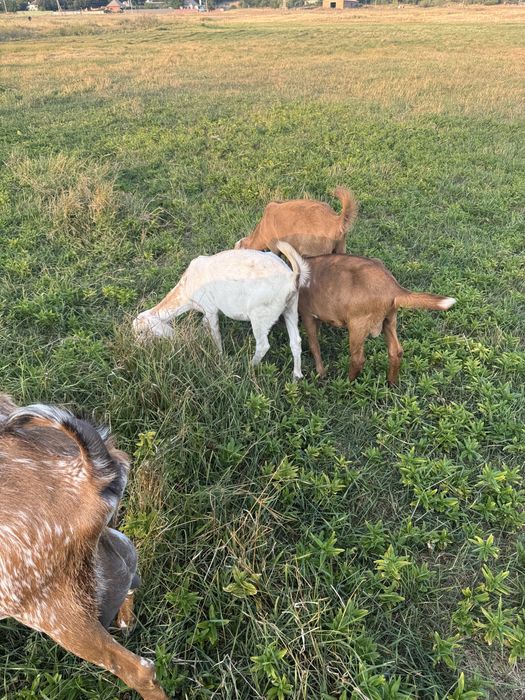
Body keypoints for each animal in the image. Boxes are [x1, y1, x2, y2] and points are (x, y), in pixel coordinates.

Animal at [133, 242, 310, 380]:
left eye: (142, 332)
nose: (137, 347)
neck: (186, 289)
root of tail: (292, 277)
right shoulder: (207, 311)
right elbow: (204, 325)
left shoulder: (210, 308)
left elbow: (215, 334)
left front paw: (219, 357)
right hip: (291, 308)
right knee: (296, 341)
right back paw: (296, 376)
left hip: (260, 315)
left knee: (263, 345)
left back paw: (249, 366)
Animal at [298, 255, 456, 385]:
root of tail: (394, 288)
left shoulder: (308, 315)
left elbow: (314, 345)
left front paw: (321, 372)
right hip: (389, 320)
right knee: (396, 351)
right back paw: (392, 384)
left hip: (357, 326)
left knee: (358, 359)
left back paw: (346, 383)